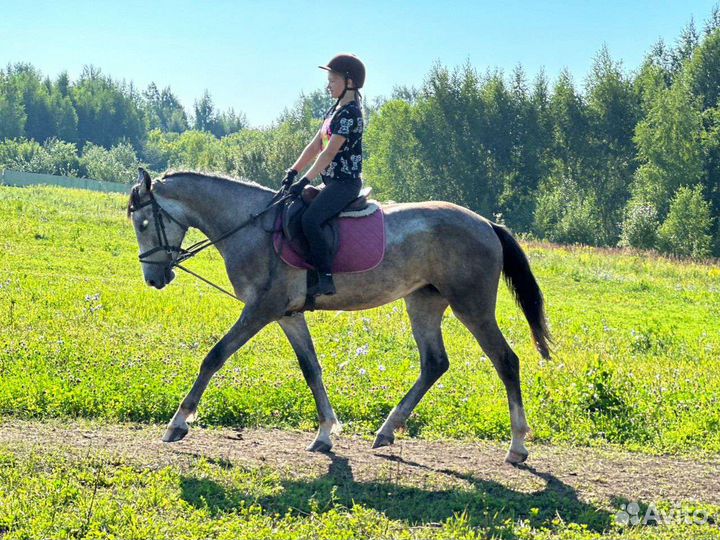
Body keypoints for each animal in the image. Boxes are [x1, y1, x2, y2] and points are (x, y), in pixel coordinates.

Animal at [127, 168, 551, 464]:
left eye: (144, 223)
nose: (154, 278)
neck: (251, 227)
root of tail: (486, 224)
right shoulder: (287, 314)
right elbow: (311, 368)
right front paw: (326, 433)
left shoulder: (261, 310)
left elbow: (214, 357)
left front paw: (178, 422)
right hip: (424, 302)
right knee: (434, 363)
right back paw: (387, 430)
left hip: (471, 305)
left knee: (505, 361)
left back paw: (517, 446)